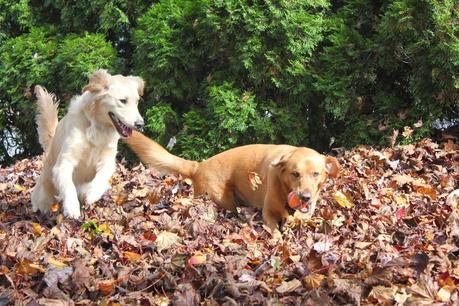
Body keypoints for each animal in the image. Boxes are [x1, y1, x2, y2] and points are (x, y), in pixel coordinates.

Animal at [31, 70, 144, 218]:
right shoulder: (64, 163)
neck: (97, 127)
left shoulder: (108, 160)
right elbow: (69, 186)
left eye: (137, 102)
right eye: (123, 101)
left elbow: (102, 177)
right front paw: (71, 207)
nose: (141, 124)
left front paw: (91, 193)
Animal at [126, 131, 342, 230]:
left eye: (316, 174)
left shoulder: (309, 209)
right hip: (222, 199)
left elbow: (302, 217)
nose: (304, 197)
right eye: (294, 174)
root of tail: (199, 166)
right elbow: (275, 231)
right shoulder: (268, 213)